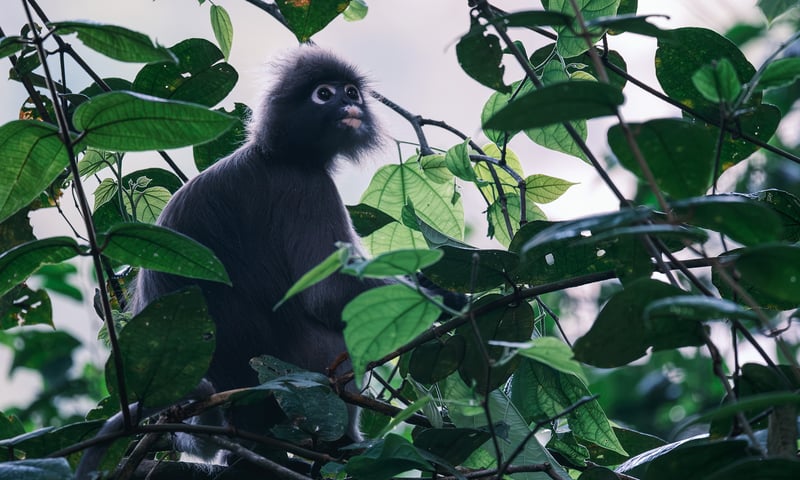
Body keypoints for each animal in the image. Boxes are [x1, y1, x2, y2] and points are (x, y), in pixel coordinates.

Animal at [76, 46, 386, 478]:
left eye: (352, 91)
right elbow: (327, 295)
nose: (349, 103)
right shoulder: (305, 186)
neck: (274, 153)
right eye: (324, 93)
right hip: (295, 374)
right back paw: (341, 446)